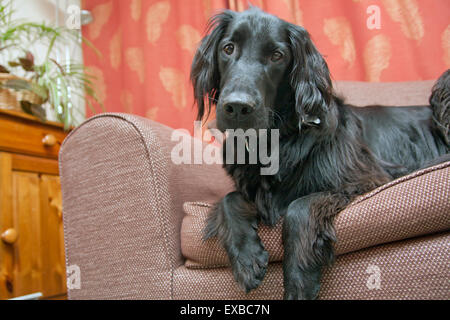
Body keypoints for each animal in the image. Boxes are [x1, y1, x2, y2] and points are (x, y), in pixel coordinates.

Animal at [191, 8, 450, 300]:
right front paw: (247, 258)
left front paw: (299, 283)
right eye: (228, 48)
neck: (274, 142)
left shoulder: (364, 180)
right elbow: (228, 199)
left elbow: (299, 208)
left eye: (277, 56)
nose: (237, 107)